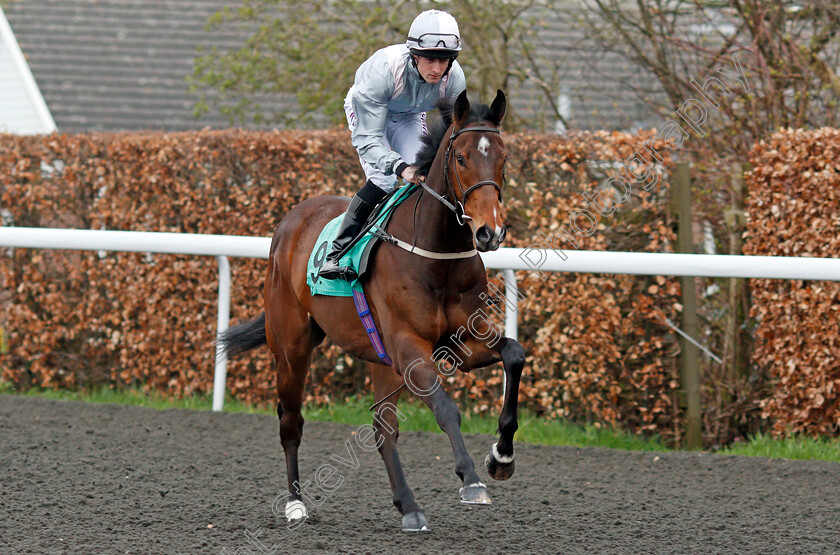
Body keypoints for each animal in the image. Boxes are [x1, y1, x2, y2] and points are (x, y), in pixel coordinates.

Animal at [223, 91, 524, 536]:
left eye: (503, 158)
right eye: (461, 158)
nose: (490, 232)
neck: (436, 255)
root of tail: (292, 218)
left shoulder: (461, 343)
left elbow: (515, 355)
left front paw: (500, 457)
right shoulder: (409, 348)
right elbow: (446, 409)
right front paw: (471, 480)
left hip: (381, 361)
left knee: (384, 429)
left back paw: (409, 507)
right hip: (292, 348)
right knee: (290, 421)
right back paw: (296, 503)